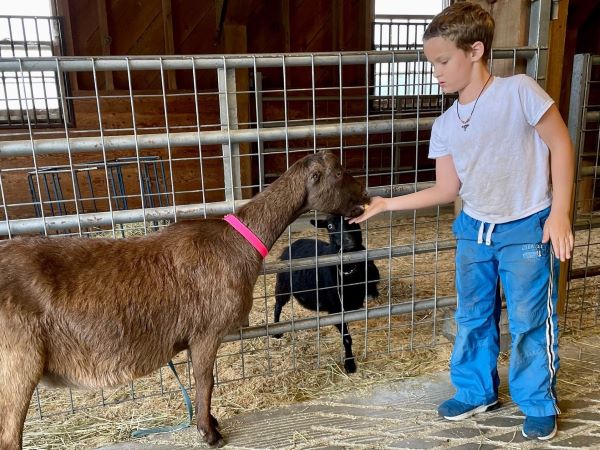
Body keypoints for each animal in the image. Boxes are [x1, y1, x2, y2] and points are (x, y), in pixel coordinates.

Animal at [0, 151, 366, 450]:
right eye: (338, 173)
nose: (365, 195)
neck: (237, 242)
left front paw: (210, 424)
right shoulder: (206, 331)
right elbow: (206, 381)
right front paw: (210, 433)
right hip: (17, 365)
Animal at [274, 214, 380, 372]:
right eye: (330, 226)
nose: (349, 242)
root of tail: (293, 243)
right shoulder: (336, 309)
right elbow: (347, 338)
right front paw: (350, 364)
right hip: (283, 284)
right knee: (278, 305)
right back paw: (276, 331)